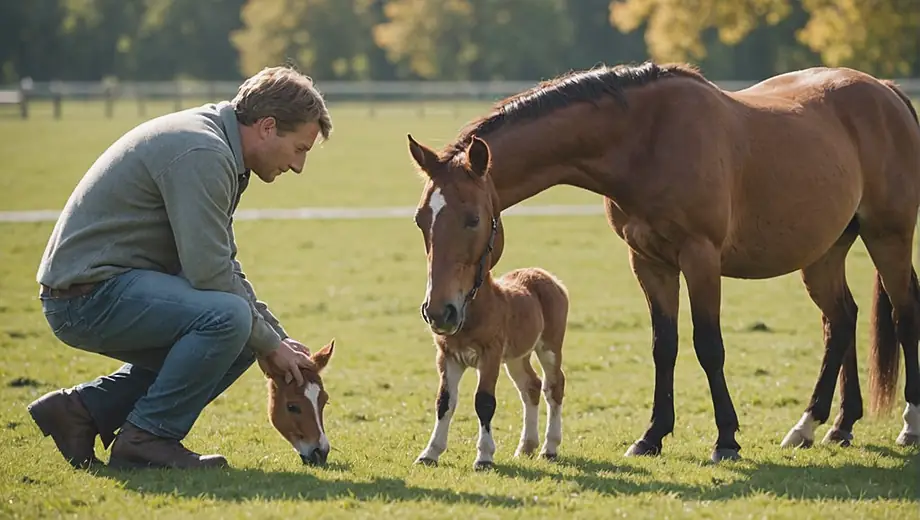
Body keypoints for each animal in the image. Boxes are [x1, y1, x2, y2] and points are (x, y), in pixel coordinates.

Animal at [408, 194, 570, 471]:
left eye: (473, 221)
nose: (438, 313)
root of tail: (548, 277)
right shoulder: (448, 357)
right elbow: (444, 401)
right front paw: (429, 453)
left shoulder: (490, 355)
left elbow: (484, 401)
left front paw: (484, 456)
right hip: (517, 356)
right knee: (531, 385)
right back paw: (526, 446)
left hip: (549, 345)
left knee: (554, 385)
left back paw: (549, 448)